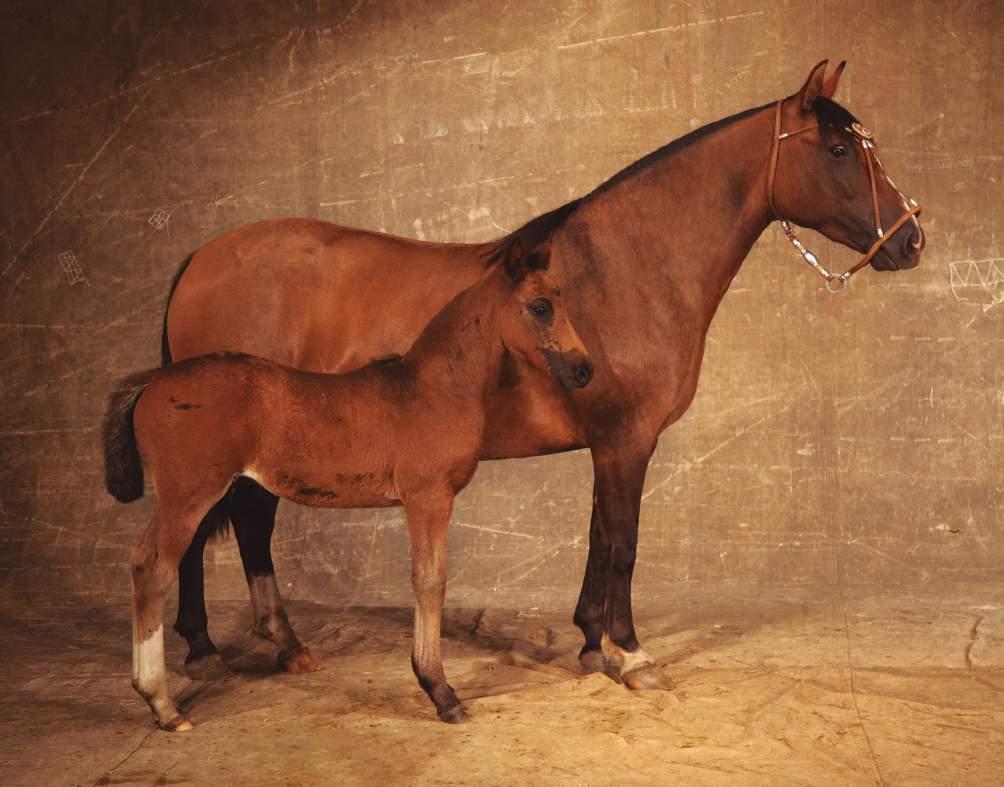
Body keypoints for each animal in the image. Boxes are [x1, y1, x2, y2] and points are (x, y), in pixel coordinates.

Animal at [103, 245, 586, 730]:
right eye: (540, 307)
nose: (584, 369)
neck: (435, 388)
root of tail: (153, 380)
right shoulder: (428, 497)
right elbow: (430, 580)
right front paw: (440, 690)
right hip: (189, 492)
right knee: (151, 565)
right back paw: (162, 703)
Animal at [164, 61, 923, 690]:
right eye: (837, 150)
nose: (912, 239)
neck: (621, 268)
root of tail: (200, 259)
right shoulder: (627, 439)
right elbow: (623, 543)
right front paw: (631, 654)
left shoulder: (609, 443)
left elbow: (597, 536)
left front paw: (590, 642)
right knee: (213, 528)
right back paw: (208, 650)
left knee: (235, 527)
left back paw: (276, 646)